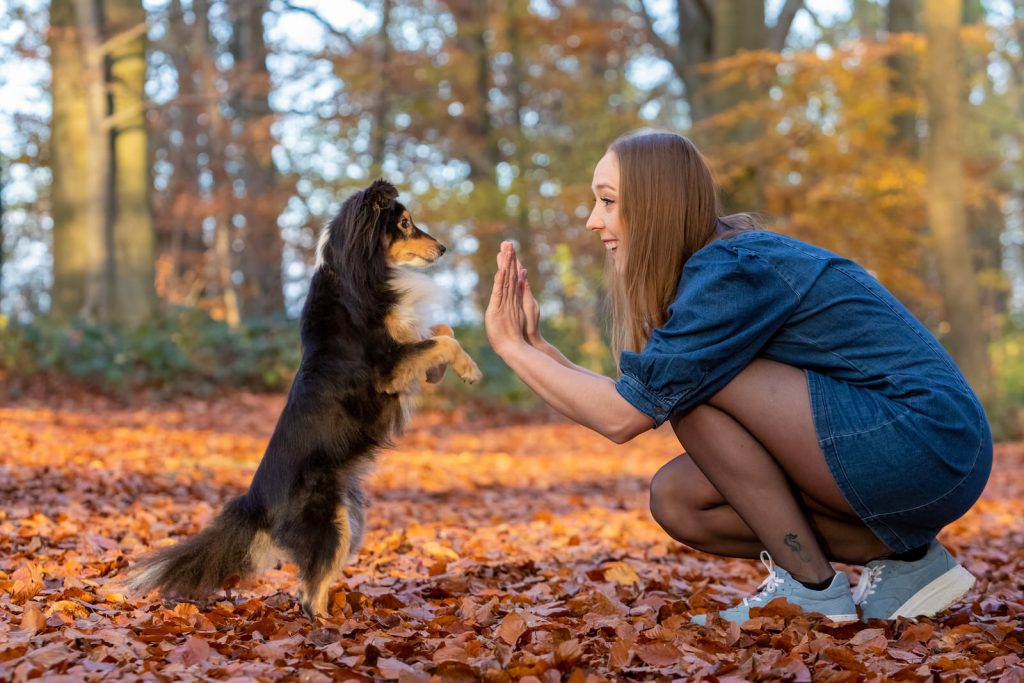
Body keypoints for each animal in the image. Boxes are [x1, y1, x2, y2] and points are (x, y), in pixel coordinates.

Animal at [128, 180, 479, 618]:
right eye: (404, 223)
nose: (444, 248)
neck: (356, 274)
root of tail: (254, 503)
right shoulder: (387, 369)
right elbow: (444, 341)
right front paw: (469, 369)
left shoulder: (403, 349)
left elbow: (442, 331)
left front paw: (439, 372)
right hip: (331, 523)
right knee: (309, 594)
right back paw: (332, 626)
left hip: (349, 518)